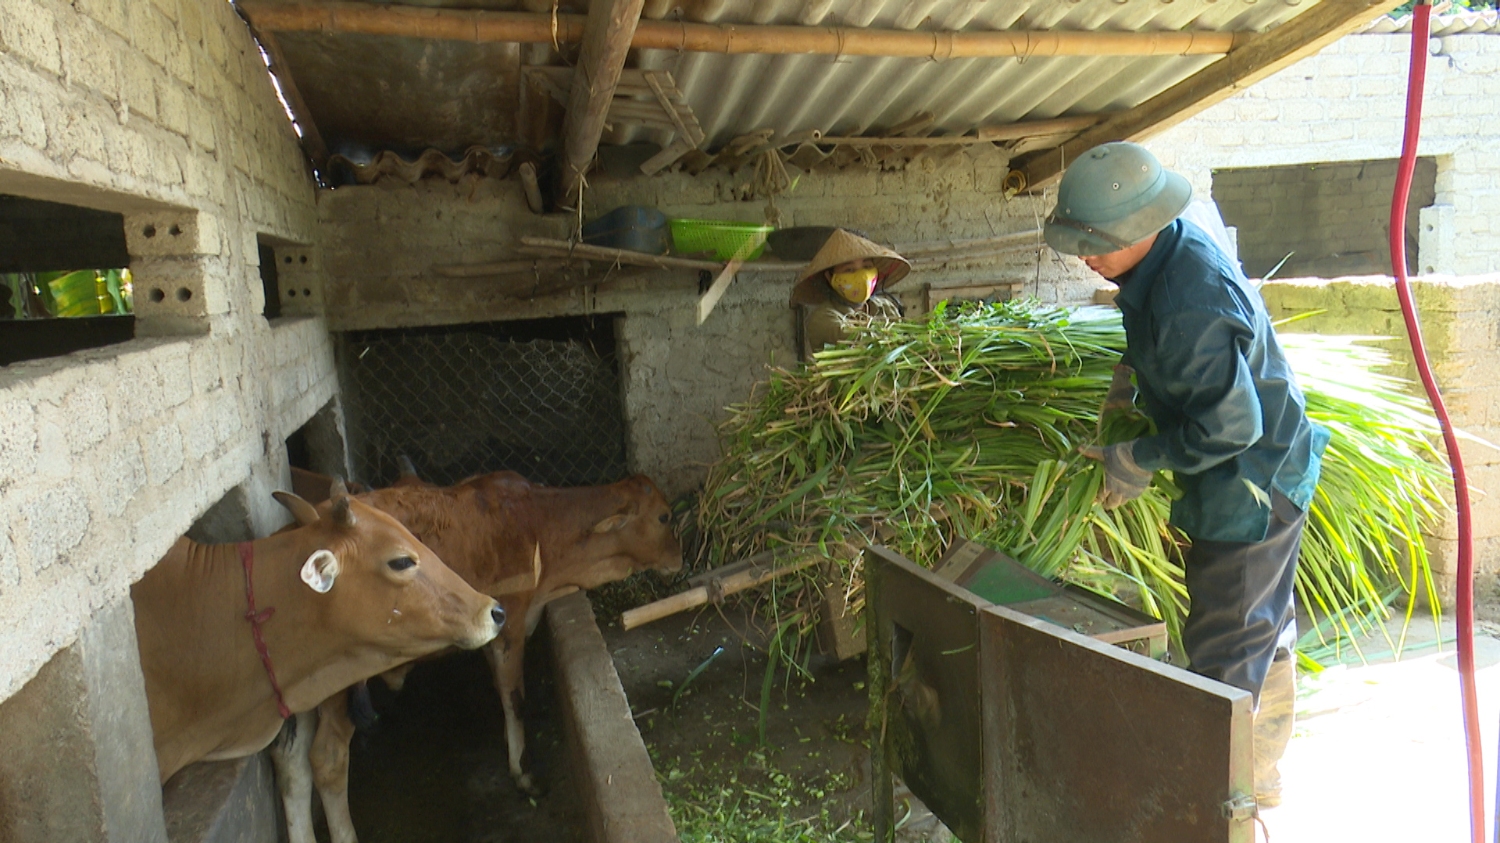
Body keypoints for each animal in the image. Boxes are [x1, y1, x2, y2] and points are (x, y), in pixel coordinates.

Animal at [280, 468, 681, 840]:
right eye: (664, 517)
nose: (678, 560)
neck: (540, 525)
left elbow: (503, 694)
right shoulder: (512, 623)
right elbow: (515, 698)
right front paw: (524, 772)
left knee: (293, 769)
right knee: (327, 760)